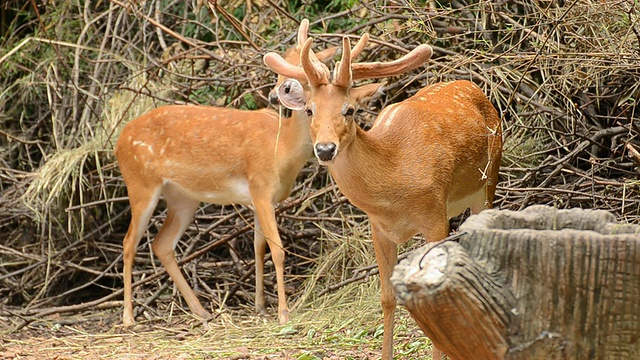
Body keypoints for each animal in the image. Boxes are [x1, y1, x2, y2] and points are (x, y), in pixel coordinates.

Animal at [117, 20, 342, 330]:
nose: (276, 95)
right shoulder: (260, 187)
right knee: (129, 242)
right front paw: (284, 312)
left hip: (183, 198)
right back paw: (129, 318)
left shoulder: (264, 200)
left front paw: (261, 306)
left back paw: (202, 311)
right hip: (140, 184)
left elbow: (259, 247)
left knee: (162, 244)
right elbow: (278, 249)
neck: (281, 150)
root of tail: (119, 140)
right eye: (281, 73)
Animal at [262, 32, 502, 358]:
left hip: (491, 175)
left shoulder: (434, 215)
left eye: (349, 110)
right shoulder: (378, 228)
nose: (325, 149)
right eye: (310, 110)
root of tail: (475, 88)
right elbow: (387, 297)